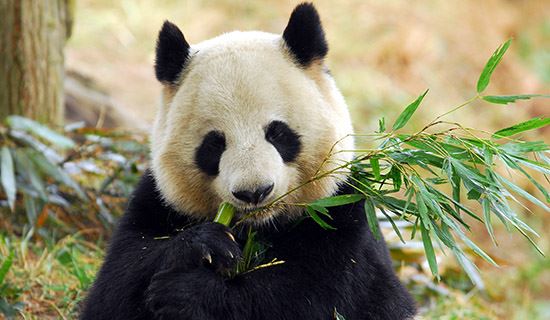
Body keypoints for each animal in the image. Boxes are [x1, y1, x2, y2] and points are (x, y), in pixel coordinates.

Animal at [81, 3, 418, 320]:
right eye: (214, 144)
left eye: (278, 133)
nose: (254, 192)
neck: (259, 227)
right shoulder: (159, 202)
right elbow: (114, 287)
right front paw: (204, 244)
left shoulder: (341, 212)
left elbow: (311, 296)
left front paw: (188, 293)